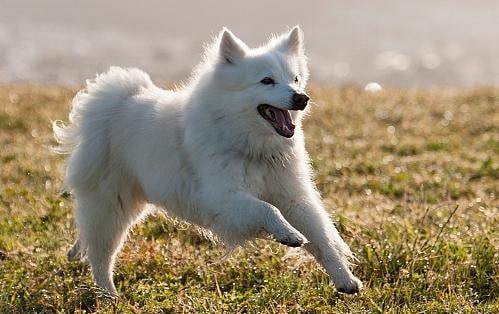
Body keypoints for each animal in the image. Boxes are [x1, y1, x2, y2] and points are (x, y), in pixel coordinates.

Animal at [52, 26, 362, 294]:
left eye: (295, 79)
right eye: (267, 80)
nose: (301, 98)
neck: (251, 146)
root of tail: (114, 101)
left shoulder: (293, 197)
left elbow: (322, 239)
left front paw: (345, 279)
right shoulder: (223, 199)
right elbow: (267, 210)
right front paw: (288, 234)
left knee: (90, 240)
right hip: (109, 206)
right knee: (101, 255)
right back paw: (109, 295)